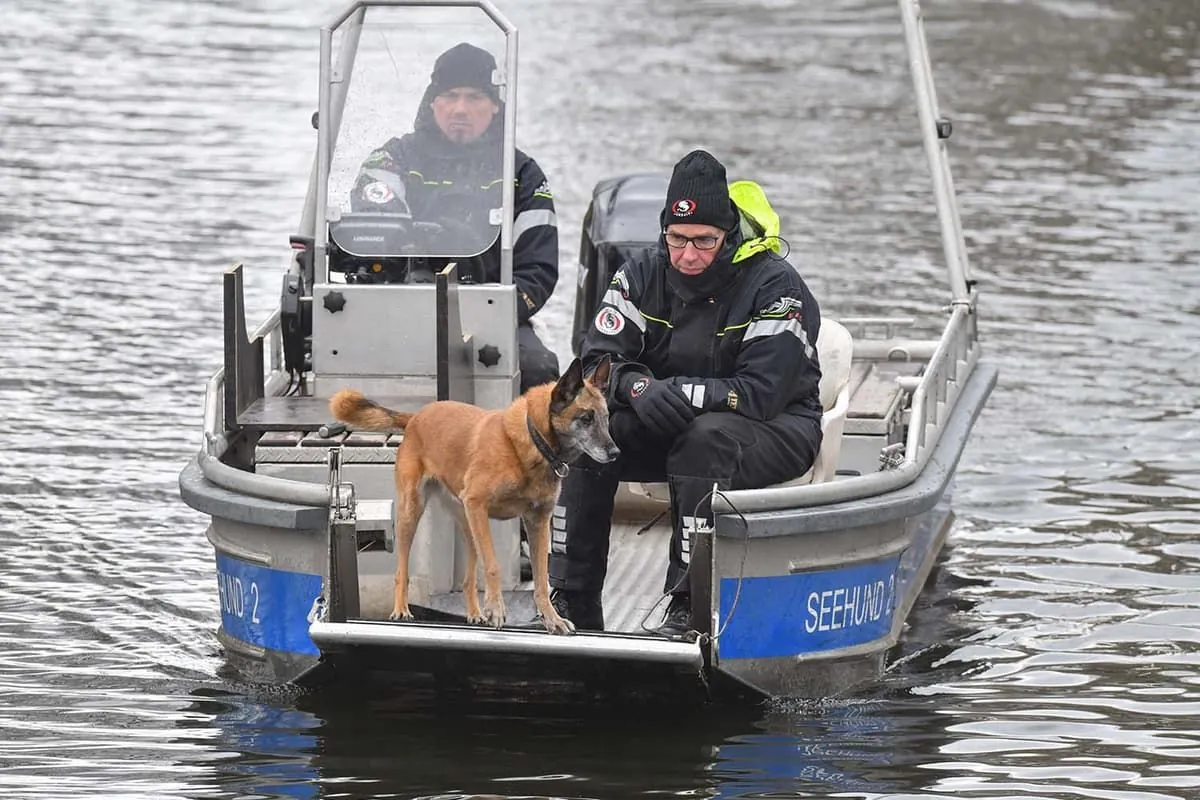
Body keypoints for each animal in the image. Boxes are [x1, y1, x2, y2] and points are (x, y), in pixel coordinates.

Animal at [326, 359, 619, 633]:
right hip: (414, 512)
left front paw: (551, 619)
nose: (615, 453)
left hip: (468, 525)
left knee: (468, 579)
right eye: (586, 418)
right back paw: (401, 610)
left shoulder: (537, 522)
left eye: (606, 418)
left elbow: (541, 579)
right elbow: (493, 566)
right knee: (402, 569)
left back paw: (475, 612)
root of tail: (416, 416)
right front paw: (498, 609)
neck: (533, 441)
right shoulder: (479, 505)